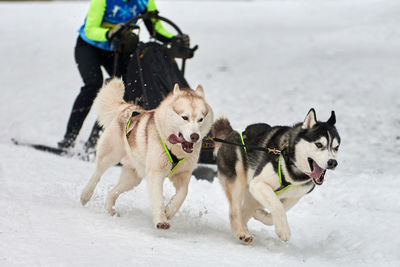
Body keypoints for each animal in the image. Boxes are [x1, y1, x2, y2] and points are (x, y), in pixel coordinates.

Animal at [79, 78, 214, 230]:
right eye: (185, 117)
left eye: (201, 119)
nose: (195, 136)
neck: (174, 149)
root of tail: (127, 107)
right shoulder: (156, 174)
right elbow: (158, 199)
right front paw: (161, 220)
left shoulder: (183, 174)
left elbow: (183, 194)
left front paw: (169, 210)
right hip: (110, 156)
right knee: (97, 174)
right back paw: (86, 195)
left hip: (132, 179)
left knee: (113, 191)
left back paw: (110, 209)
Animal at [212, 109, 340, 245]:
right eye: (319, 144)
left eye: (336, 147)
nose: (332, 162)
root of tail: (232, 133)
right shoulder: (258, 184)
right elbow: (277, 206)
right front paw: (283, 231)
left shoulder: (295, 196)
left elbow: (276, 212)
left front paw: (262, 215)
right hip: (238, 181)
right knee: (235, 211)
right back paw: (241, 233)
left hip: (253, 195)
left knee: (245, 211)